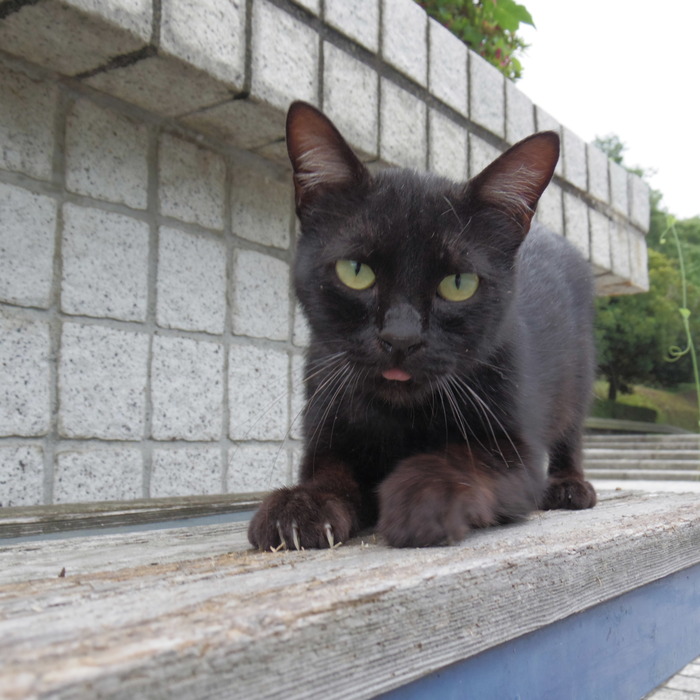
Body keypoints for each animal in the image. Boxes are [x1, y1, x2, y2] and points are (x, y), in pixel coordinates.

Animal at [249, 101, 592, 548]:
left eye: (459, 283)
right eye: (355, 271)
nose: (401, 338)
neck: (401, 418)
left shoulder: (519, 454)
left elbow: (465, 459)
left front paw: (424, 494)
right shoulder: (326, 429)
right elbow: (331, 473)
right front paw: (300, 504)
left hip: (579, 380)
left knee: (571, 436)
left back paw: (570, 486)